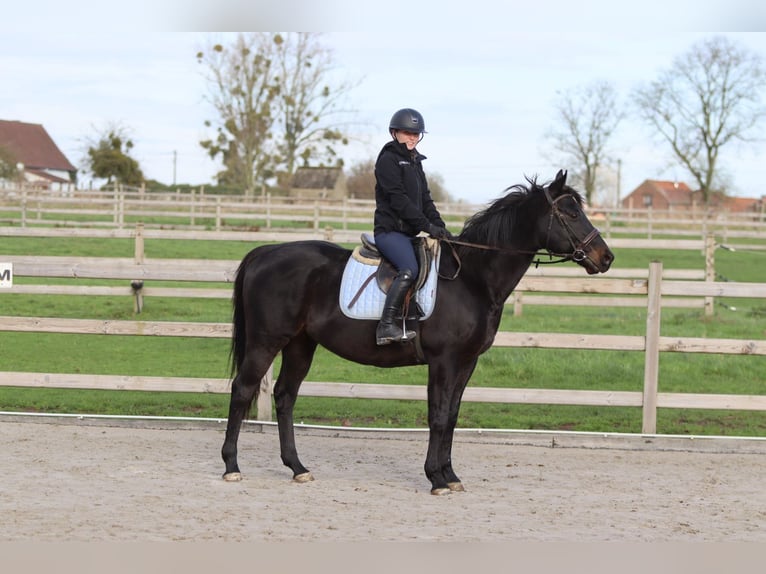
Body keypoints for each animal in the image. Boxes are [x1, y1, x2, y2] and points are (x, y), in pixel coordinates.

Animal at [221, 169, 614, 494]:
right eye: (571, 214)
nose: (606, 257)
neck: (473, 278)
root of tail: (264, 252)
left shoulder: (466, 363)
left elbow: (452, 416)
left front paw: (451, 476)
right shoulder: (443, 361)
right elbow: (437, 416)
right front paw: (436, 479)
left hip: (301, 344)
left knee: (285, 396)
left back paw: (298, 468)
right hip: (266, 341)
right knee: (242, 390)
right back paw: (231, 466)